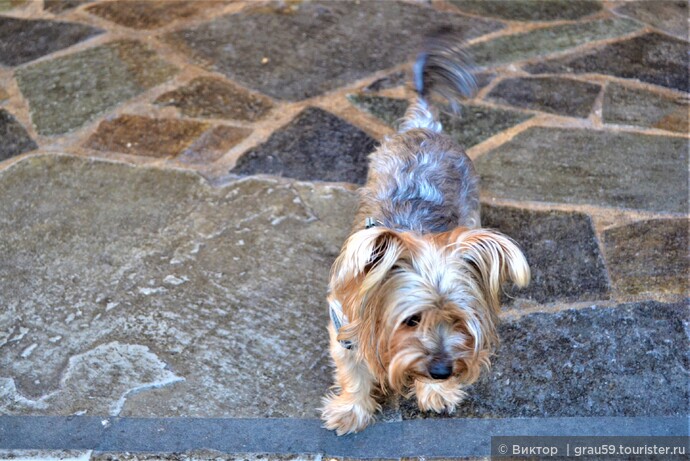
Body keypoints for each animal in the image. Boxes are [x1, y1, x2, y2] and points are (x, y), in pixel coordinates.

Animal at [322, 33, 528, 434]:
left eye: (458, 319)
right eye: (411, 320)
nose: (443, 370)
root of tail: (424, 126)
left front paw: (437, 392)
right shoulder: (343, 325)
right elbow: (352, 371)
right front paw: (351, 410)